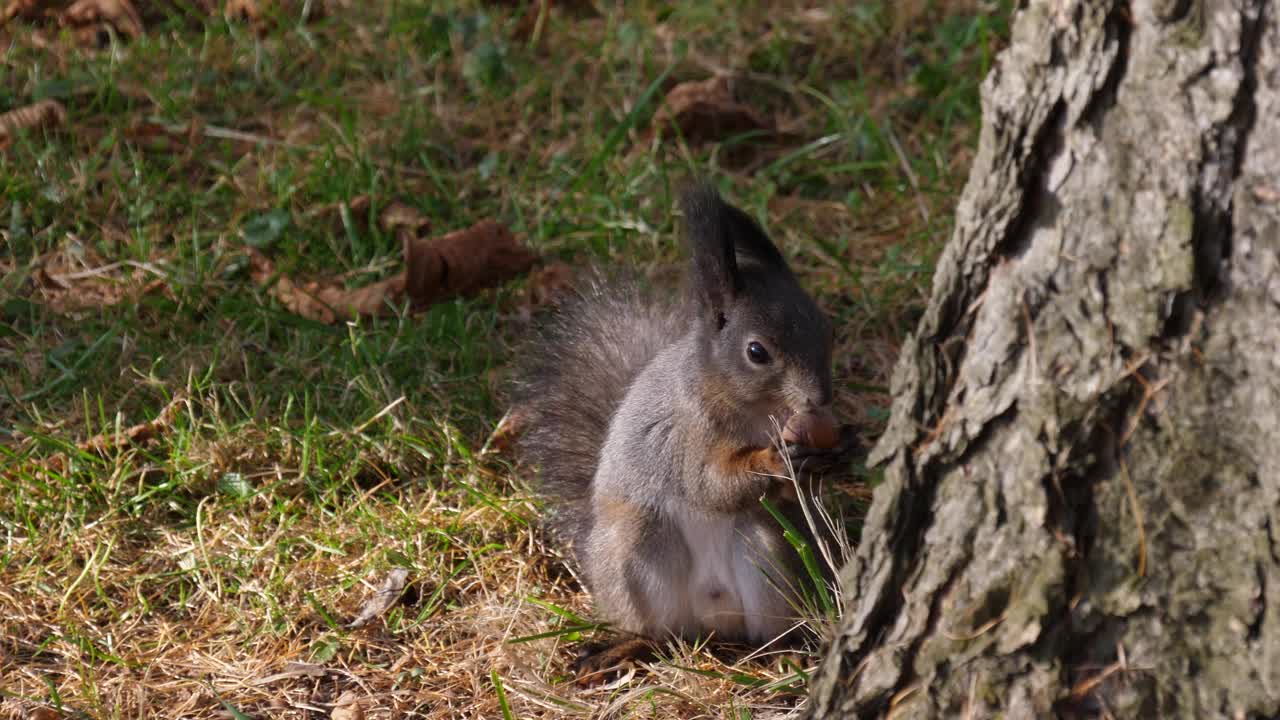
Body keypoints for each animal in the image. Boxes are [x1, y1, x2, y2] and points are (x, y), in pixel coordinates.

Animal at [509, 181, 849, 681]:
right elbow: (708, 484)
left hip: (767, 556)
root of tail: (714, 620)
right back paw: (627, 646)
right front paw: (774, 459)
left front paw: (840, 452)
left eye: (827, 329)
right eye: (756, 352)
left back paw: (784, 651)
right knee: (659, 631)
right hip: (637, 549)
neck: (756, 410)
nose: (821, 397)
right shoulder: (685, 431)